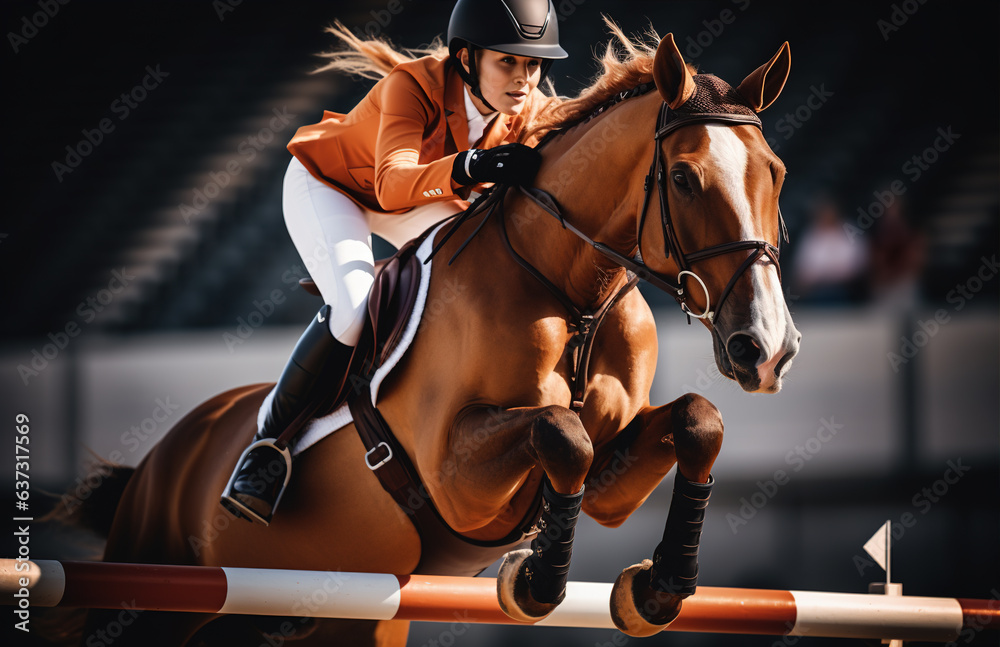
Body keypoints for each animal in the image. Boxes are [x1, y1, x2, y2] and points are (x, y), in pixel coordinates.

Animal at [69, 31, 800, 646]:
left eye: (778, 173)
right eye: (683, 177)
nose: (766, 348)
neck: (573, 297)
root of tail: (164, 455)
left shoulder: (607, 486)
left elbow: (697, 420)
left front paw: (658, 589)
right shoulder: (455, 478)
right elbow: (562, 430)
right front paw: (537, 582)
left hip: (337, 622)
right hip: (151, 593)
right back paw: (257, 472)